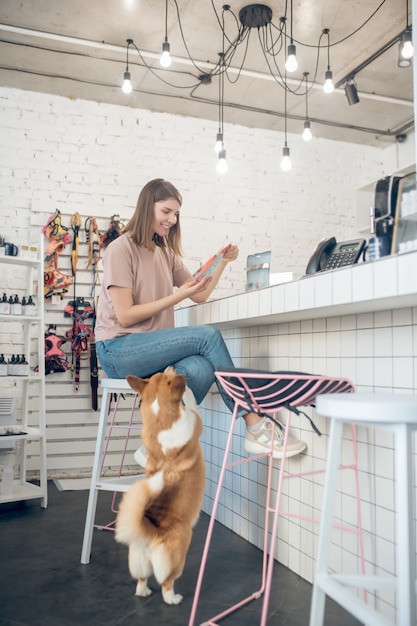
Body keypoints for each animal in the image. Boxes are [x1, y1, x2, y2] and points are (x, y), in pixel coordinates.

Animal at [114, 366, 205, 604]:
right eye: (166, 375)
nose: (171, 366)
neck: (159, 418)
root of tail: (150, 532)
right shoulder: (194, 419)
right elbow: (191, 403)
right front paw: (188, 391)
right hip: (178, 555)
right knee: (166, 582)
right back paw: (173, 599)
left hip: (137, 558)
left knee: (141, 579)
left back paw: (144, 592)